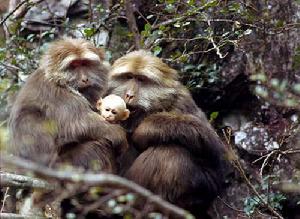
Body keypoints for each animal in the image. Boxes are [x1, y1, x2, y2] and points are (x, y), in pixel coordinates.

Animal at [8, 38, 127, 173]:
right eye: (74, 65)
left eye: (84, 63)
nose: (85, 79)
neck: (58, 80)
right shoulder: (58, 95)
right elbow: (79, 124)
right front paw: (119, 134)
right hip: (63, 166)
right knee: (98, 145)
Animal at [109, 50, 226, 217]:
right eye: (128, 77)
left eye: (141, 79)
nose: (129, 95)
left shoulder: (182, 101)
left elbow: (214, 153)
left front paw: (145, 129)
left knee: (170, 151)